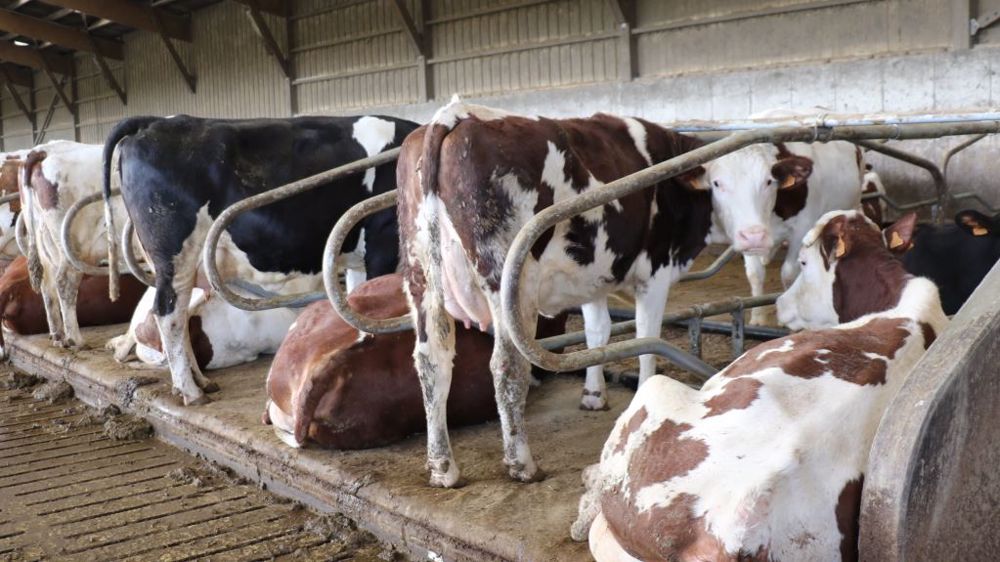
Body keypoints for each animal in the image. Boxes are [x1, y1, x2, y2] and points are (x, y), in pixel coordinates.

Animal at [18, 140, 132, 349]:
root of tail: (42, 150)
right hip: (73, 245)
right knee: (64, 282)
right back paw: (74, 339)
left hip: (44, 243)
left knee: (48, 285)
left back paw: (58, 335)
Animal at [396, 98, 812, 487]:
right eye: (717, 184)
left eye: (769, 182)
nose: (754, 237)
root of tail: (453, 115)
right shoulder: (654, 273)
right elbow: (646, 338)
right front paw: (644, 394)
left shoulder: (593, 274)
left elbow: (598, 334)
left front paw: (593, 395)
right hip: (507, 283)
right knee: (507, 366)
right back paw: (521, 463)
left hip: (421, 279)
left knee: (431, 362)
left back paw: (442, 466)